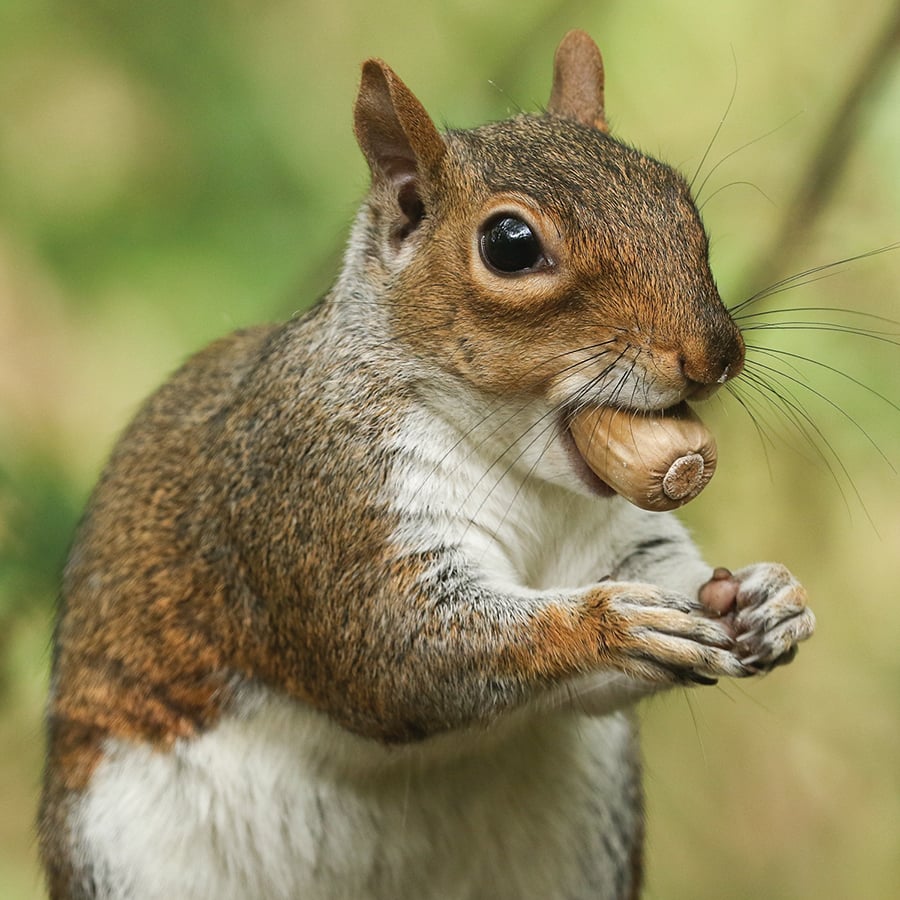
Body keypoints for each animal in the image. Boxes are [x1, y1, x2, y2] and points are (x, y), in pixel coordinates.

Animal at [38, 30, 815, 900]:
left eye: (678, 197)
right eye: (510, 244)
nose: (715, 354)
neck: (528, 475)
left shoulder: (621, 535)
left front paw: (767, 598)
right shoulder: (318, 496)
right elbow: (400, 653)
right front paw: (613, 623)